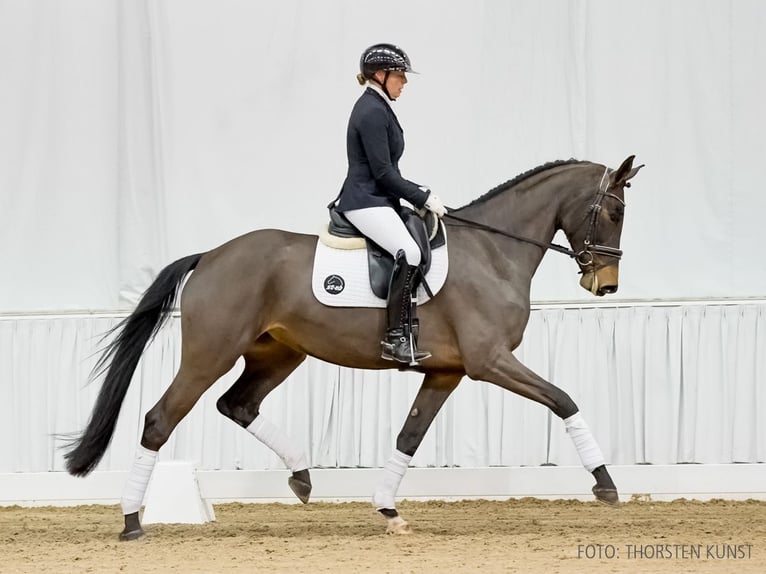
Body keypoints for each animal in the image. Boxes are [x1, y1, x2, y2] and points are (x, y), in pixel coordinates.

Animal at [66, 154, 644, 540]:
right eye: (616, 212)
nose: (606, 285)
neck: (493, 250)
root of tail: (209, 255)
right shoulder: (489, 361)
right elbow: (564, 399)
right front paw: (606, 485)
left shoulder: (448, 372)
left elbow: (409, 436)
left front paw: (387, 508)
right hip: (210, 354)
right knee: (160, 420)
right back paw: (132, 521)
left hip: (278, 353)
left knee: (237, 404)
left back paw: (302, 477)